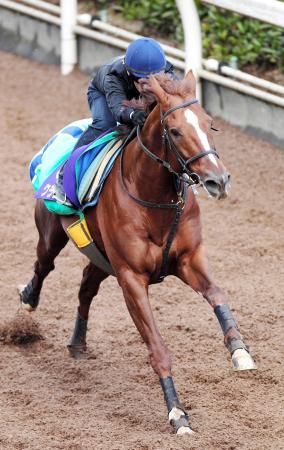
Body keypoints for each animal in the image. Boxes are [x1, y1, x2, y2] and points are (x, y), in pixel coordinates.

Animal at [18, 72, 256, 434]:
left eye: (209, 124)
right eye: (175, 131)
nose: (219, 180)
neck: (154, 199)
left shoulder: (188, 259)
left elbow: (217, 294)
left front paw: (239, 351)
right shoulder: (131, 277)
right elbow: (157, 346)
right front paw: (177, 414)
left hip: (102, 258)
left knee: (86, 286)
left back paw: (78, 342)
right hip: (53, 234)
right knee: (43, 265)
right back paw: (28, 298)